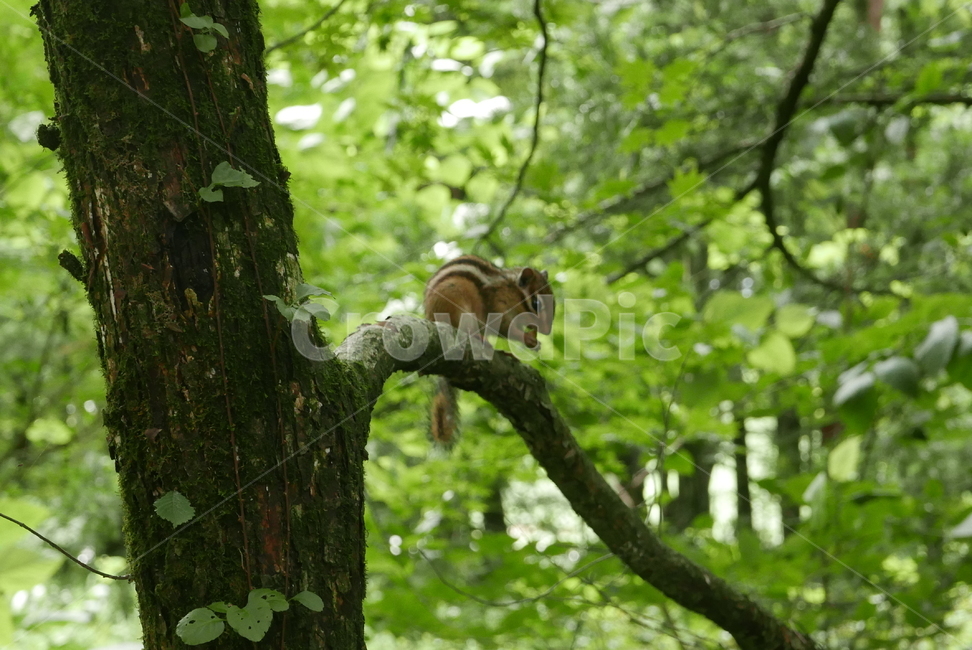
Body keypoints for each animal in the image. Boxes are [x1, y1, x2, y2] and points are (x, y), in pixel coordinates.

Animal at [423, 255, 555, 447]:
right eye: (536, 303)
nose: (546, 331)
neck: (513, 292)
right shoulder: (498, 306)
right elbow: (506, 328)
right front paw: (529, 339)